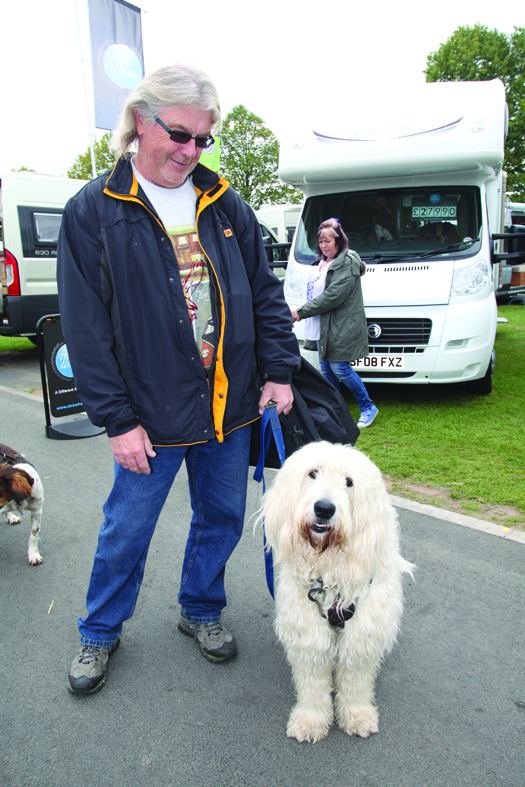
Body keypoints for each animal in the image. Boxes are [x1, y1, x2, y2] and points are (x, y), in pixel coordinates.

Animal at [262, 444, 414, 744]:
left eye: (349, 482)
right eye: (313, 473)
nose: (324, 508)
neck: (330, 568)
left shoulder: (363, 631)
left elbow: (356, 678)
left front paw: (358, 715)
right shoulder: (307, 628)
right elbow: (312, 679)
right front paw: (311, 720)